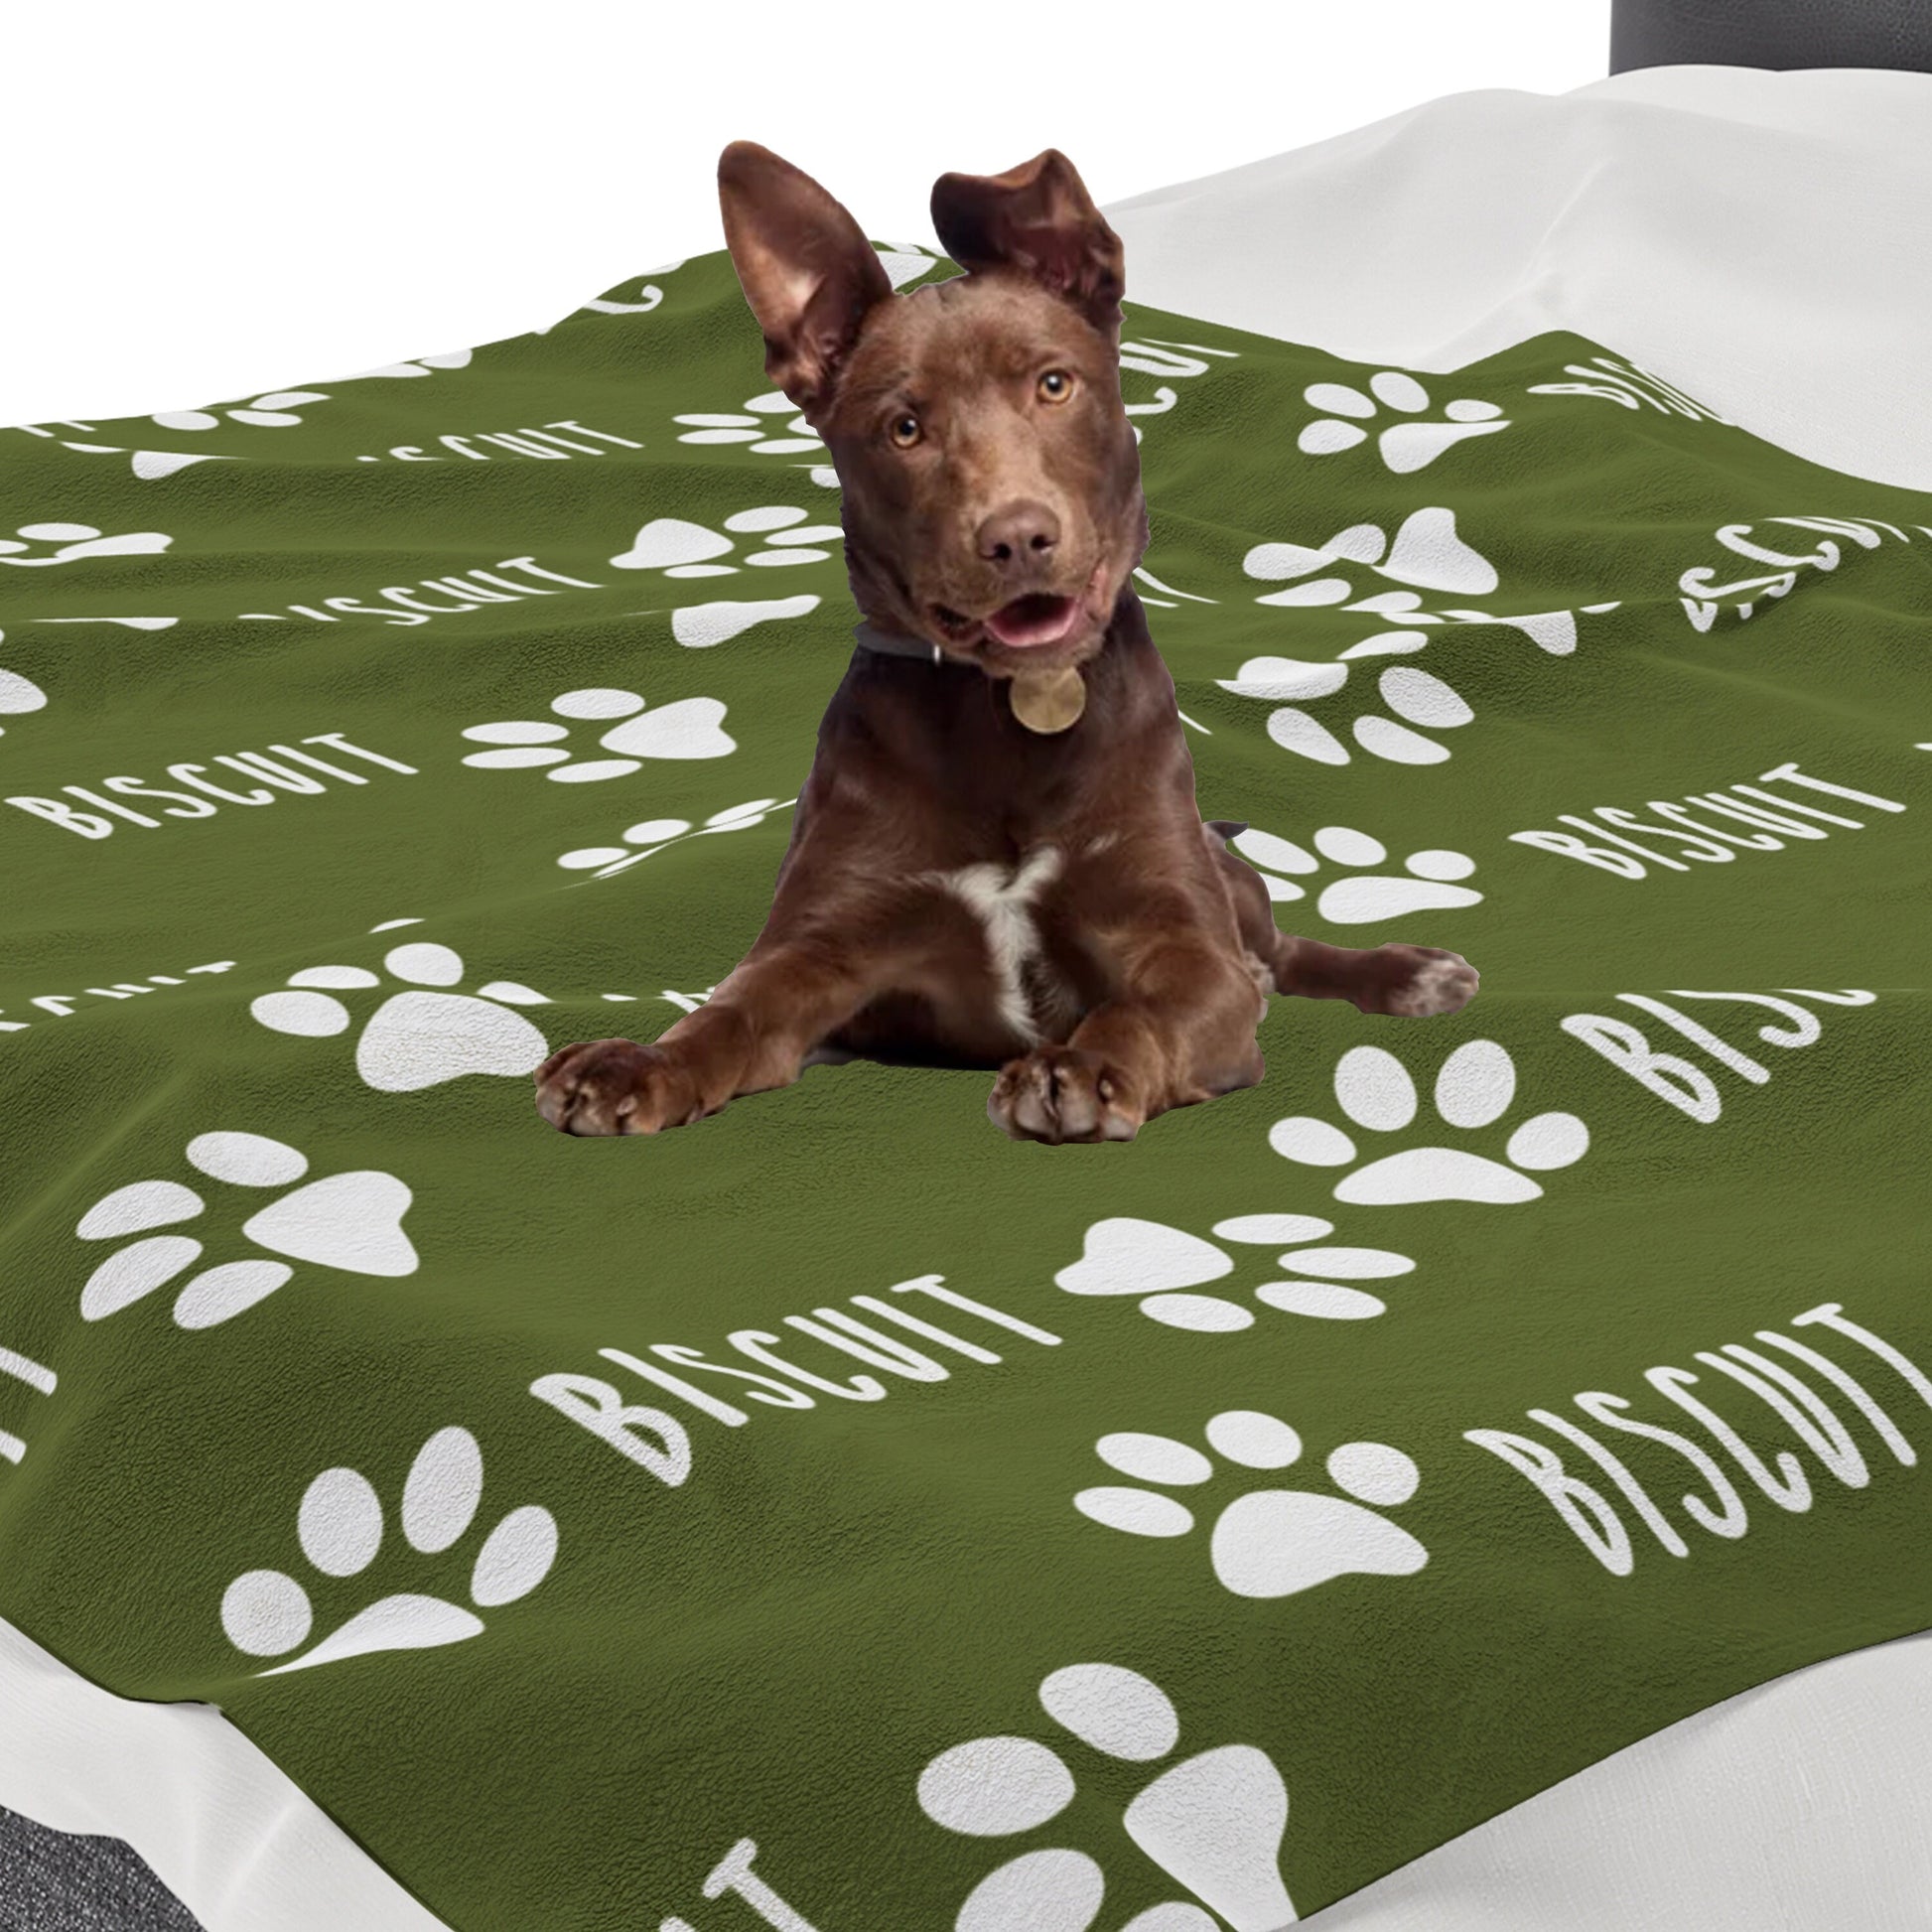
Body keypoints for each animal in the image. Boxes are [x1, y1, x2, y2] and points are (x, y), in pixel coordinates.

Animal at [533, 150, 1475, 1144]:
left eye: (1053, 385)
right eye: (905, 428)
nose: (1018, 538)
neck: (1013, 710)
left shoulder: (1186, 944)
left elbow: (1142, 1006)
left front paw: (1085, 1067)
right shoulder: (822, 947)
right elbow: (731, 1011)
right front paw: (642, 1063)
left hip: (1230, 888)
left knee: (1282, 950)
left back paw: (1407, 972)